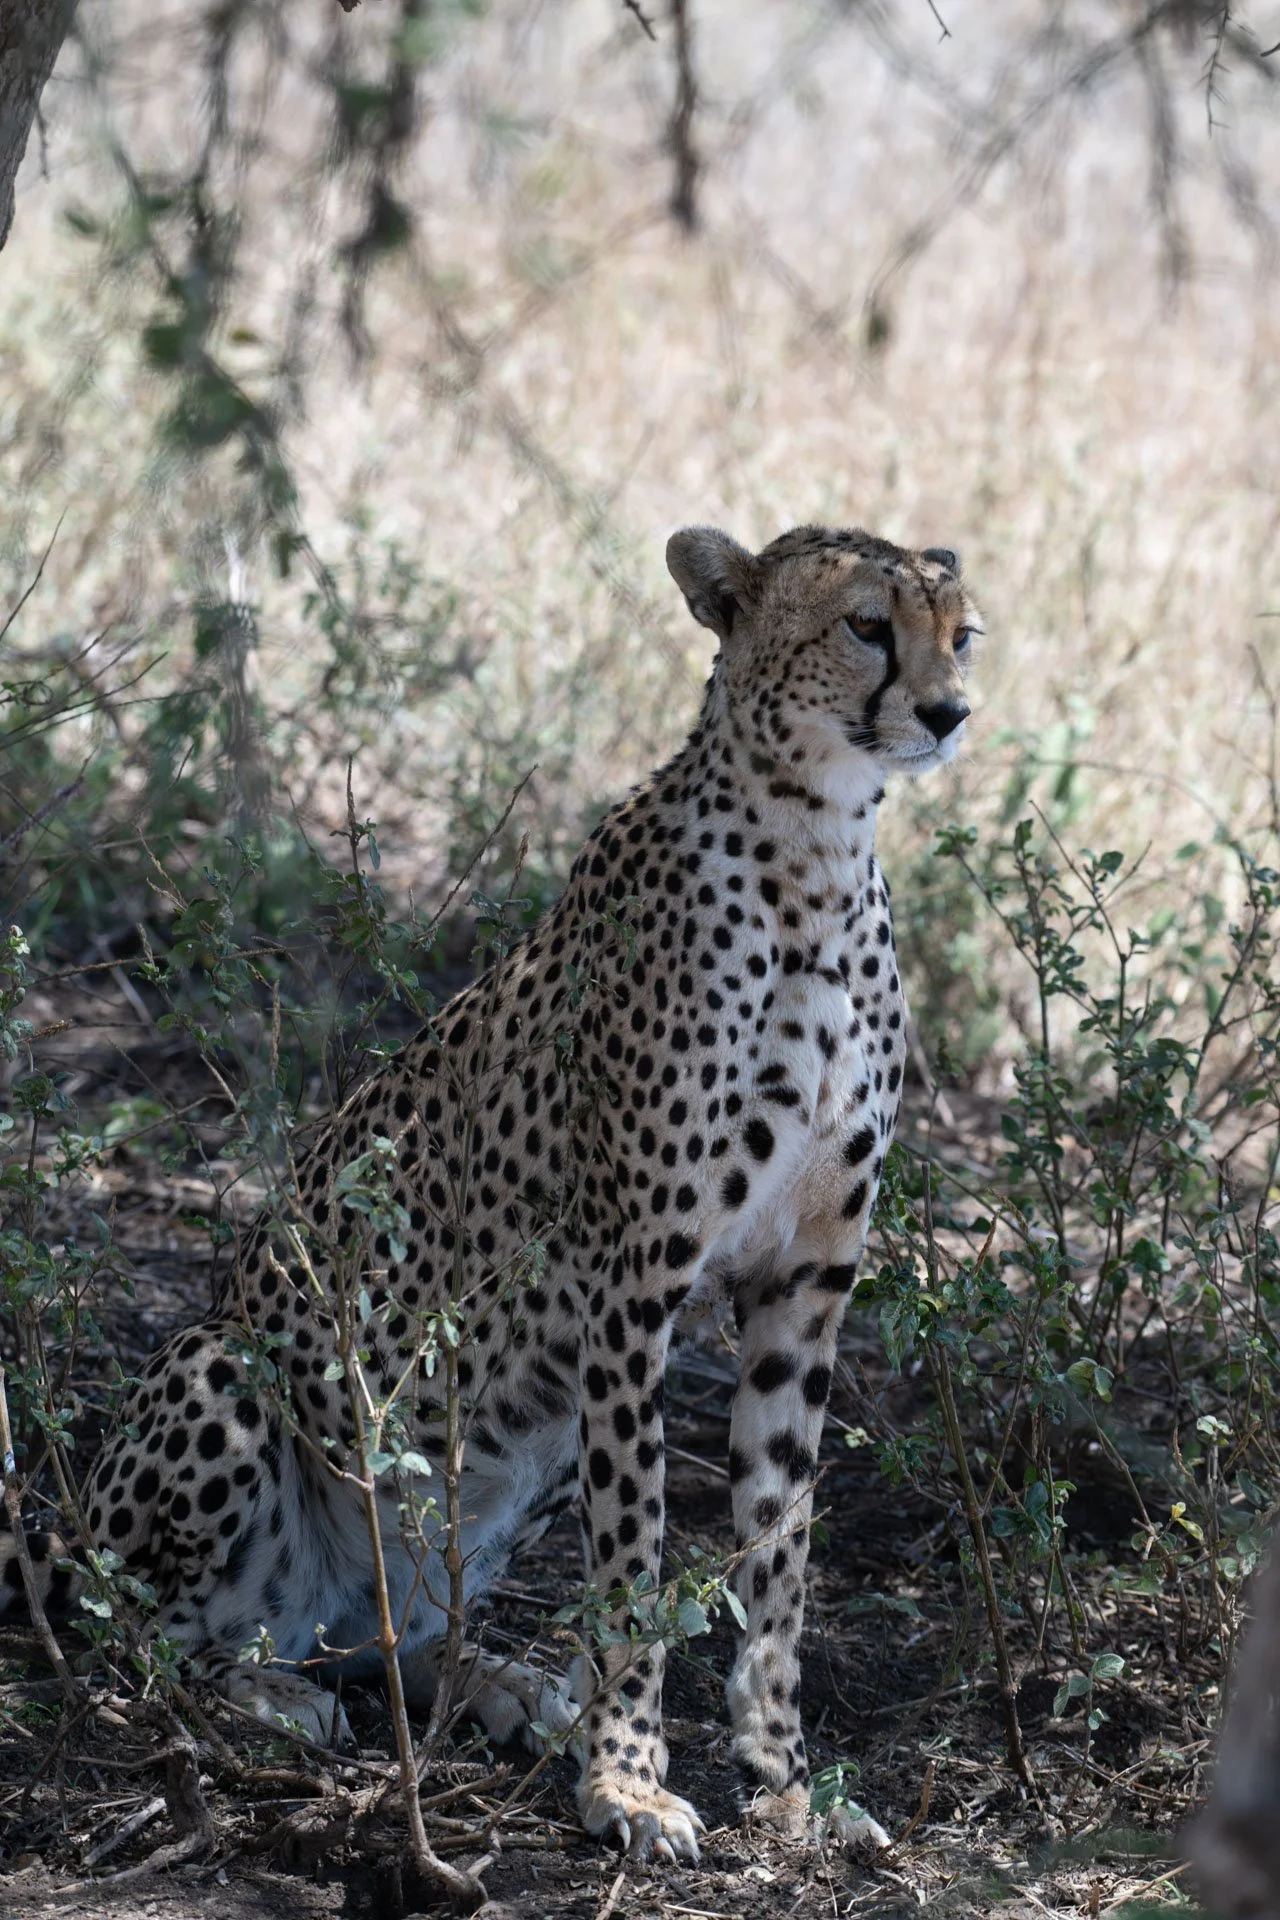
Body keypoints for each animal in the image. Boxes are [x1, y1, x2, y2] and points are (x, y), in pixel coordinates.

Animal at [4, 521, 979, 1865]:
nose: (947, 712)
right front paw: (628, 1783)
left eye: (961, 632)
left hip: (515, 1447)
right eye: (866, 627)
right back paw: (269, 1693)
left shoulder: (805, 1285)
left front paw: (782, 1782)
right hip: (224, 1371)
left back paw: (506, 1689)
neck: (817, 856)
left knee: (395, 1640)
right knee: (148, 1638)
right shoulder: (632, 1283)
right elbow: (632, 1553)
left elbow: (778, 1551)